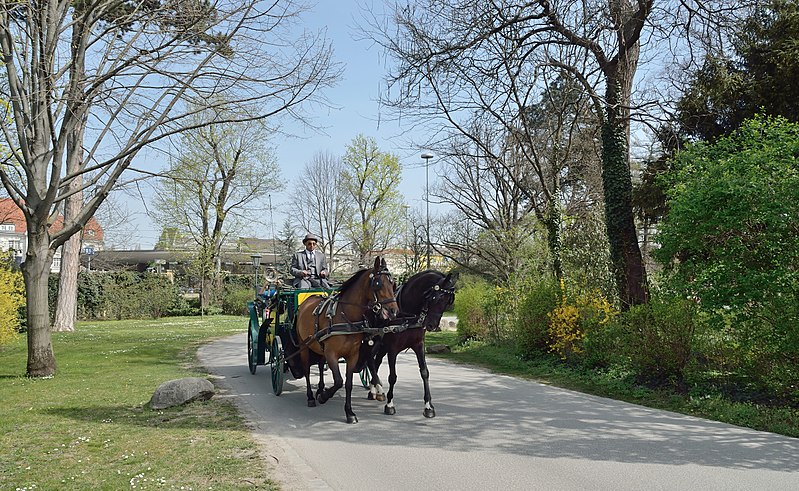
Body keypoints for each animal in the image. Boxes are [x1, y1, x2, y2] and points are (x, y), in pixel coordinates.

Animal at [296, 258, 398, 422]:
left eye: (393, 283)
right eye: (378, 283)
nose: (394, 311)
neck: (346, 316)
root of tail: (309, 299)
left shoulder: (352, 355)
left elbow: (348, 383)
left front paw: (349, 412)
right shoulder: (332, 354)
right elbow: (338, 381)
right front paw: (324, 397)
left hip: (320, 347)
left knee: (320, 365)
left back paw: (320, 389)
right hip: (304, 346)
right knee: (306, 370)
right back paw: (311, 397)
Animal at [364, 270, 454, 418]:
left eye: (448, 301)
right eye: (435, 298)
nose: (432, 325)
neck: (408, 316)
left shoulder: (418, 345)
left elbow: (424, 372)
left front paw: (428, 406)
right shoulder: (393, 349)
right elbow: (392, 377)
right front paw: (390, 404)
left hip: (381, 345)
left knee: (375, 361)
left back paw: (374, 390)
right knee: (370, 361)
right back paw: (376, 389)